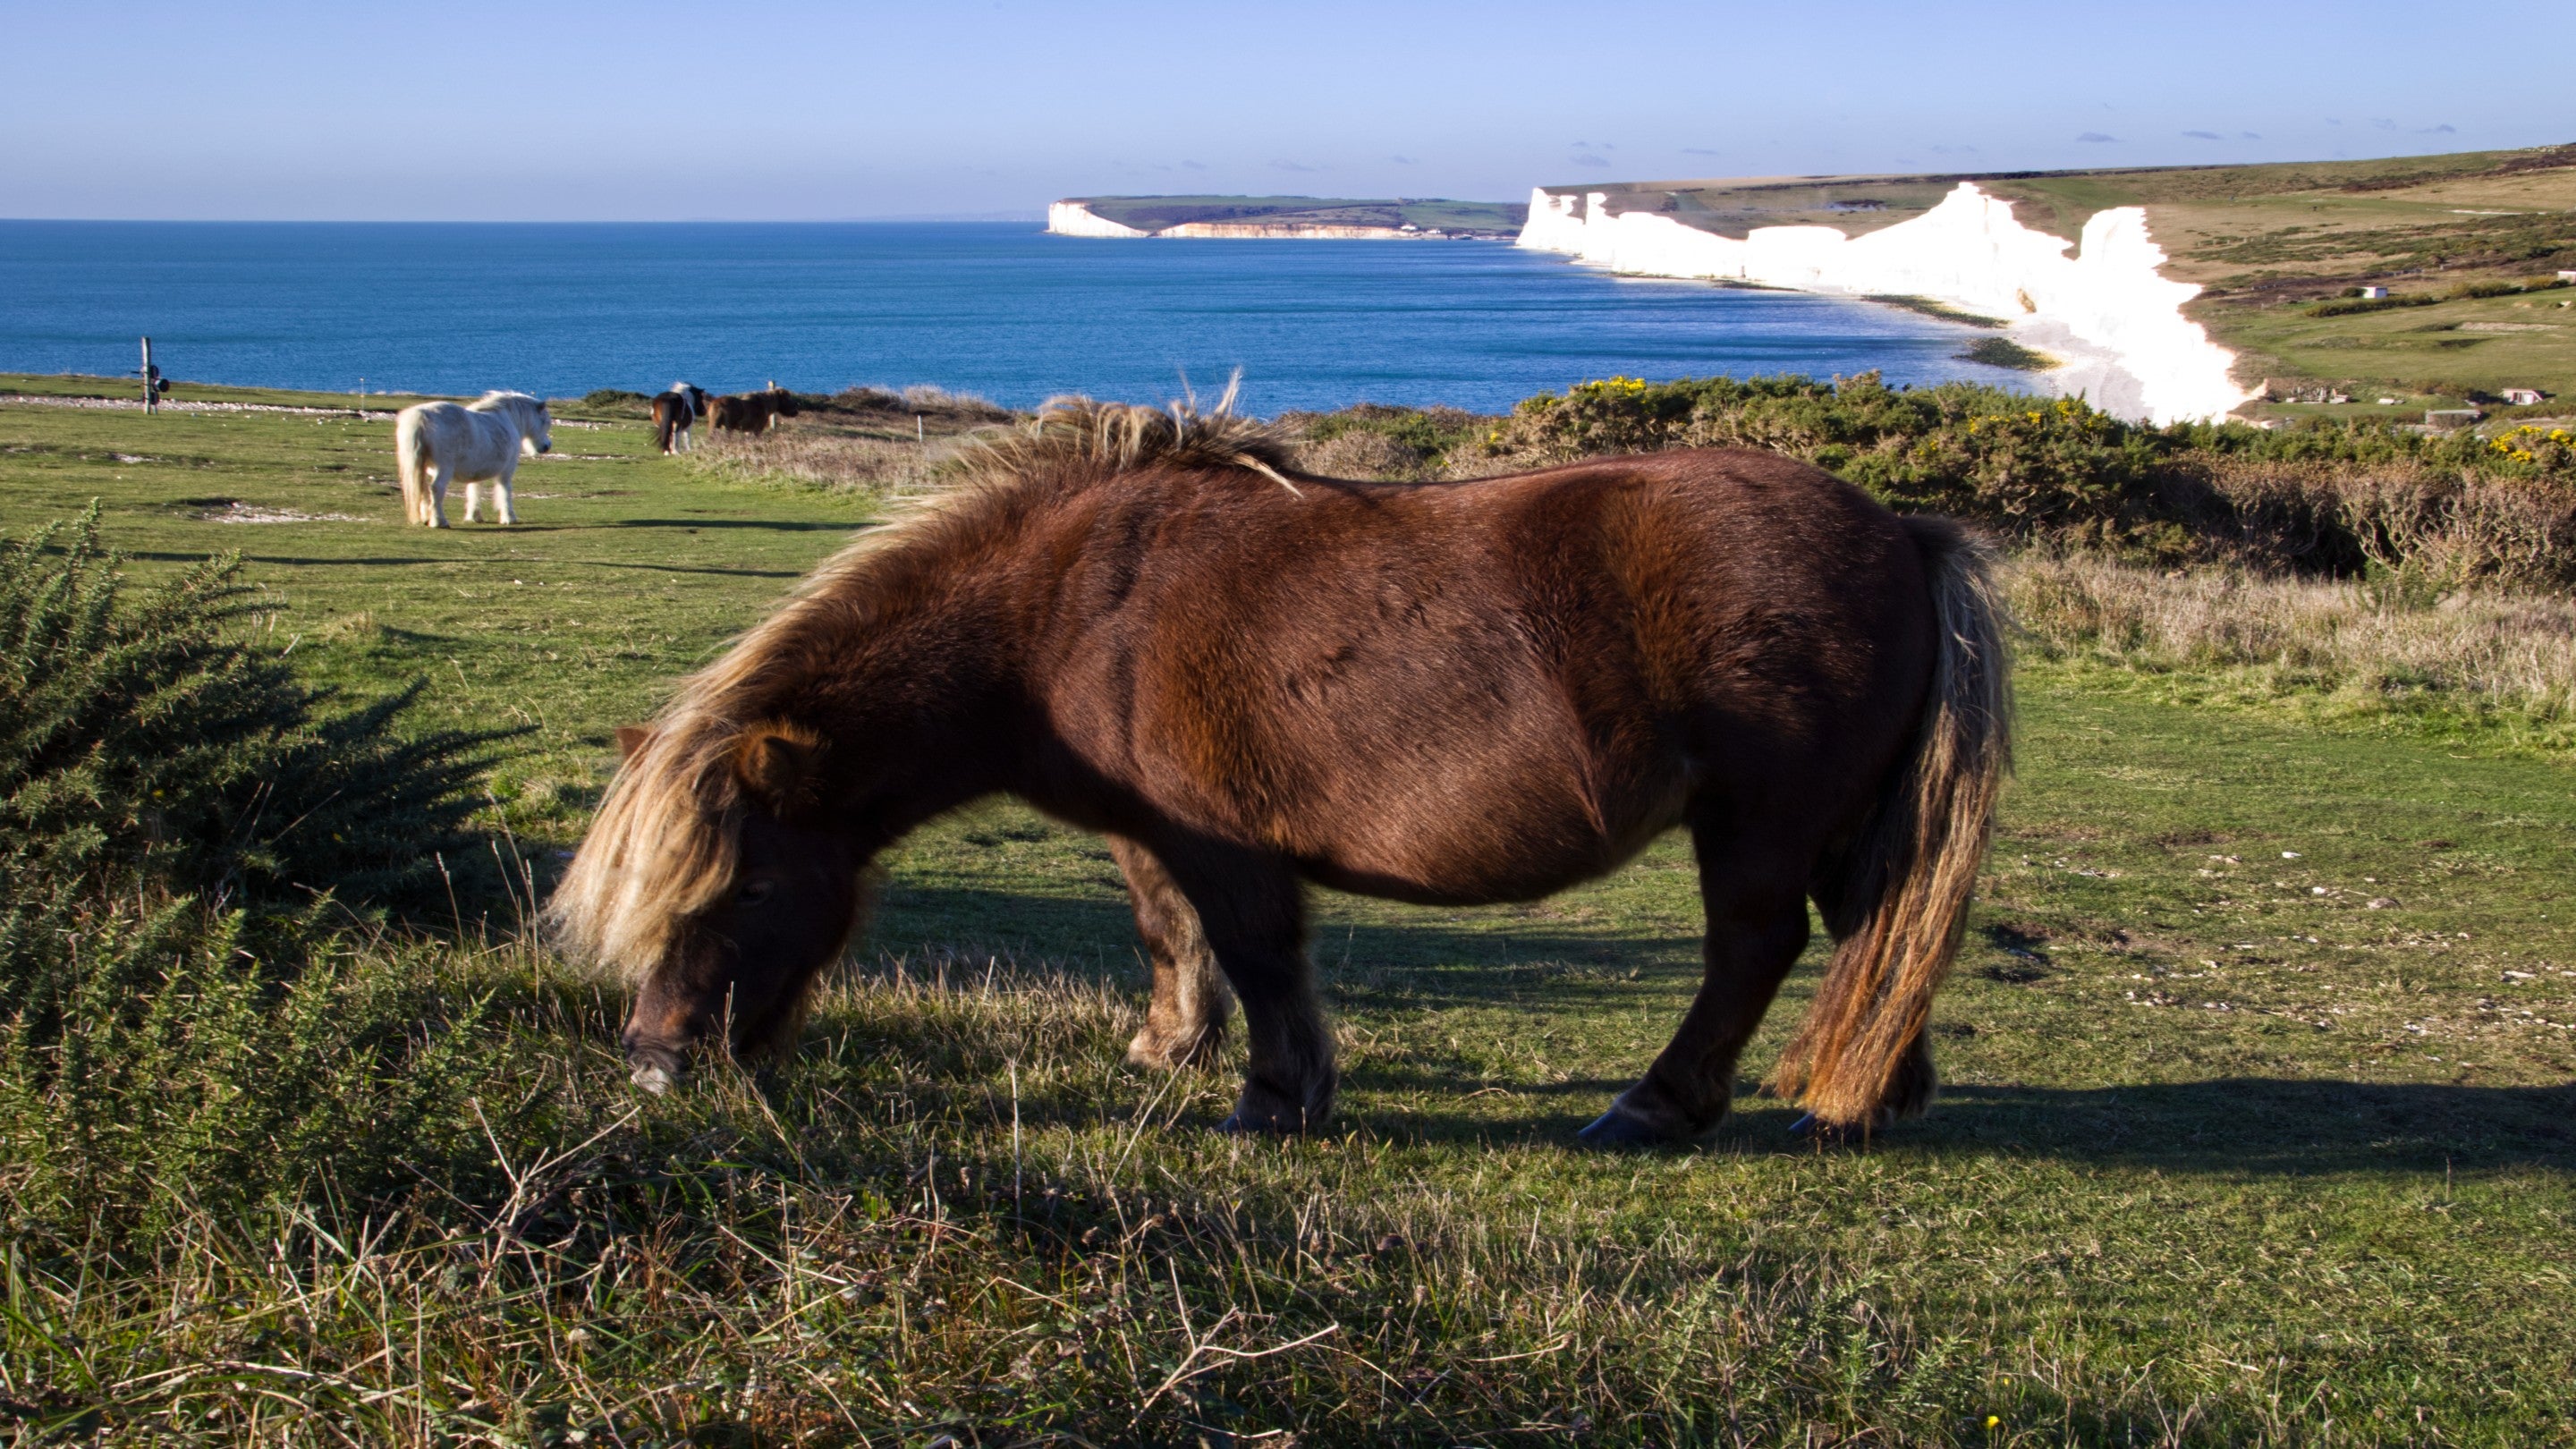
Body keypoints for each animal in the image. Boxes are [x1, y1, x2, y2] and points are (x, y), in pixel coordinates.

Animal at [393, 391, 553, 527]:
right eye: (545, 422)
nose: (546, 446)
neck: (507, 419)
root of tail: (422, 419)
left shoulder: (476, 471)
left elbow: (474, 490)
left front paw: (474, 516)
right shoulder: (506, 472)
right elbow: (505, 491)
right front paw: (509, 518)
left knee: (424, 489)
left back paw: (427, 519)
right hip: (444, 468)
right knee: (436, 489)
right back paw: (439, 521)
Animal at [548, 398, 2011, 1144]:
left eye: (746, 892)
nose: (656, 1066)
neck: (1065, 609)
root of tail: (1905, 530)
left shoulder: (1223, 837)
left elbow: (1257, 952)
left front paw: (1273, 1094)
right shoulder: (1144, 831)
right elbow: (1168, 934)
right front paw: (1167, 1049)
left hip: (1757, 823)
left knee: (1758, 946)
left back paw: (1663, 1105)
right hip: (1835, 824)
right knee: (1877, 925)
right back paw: (1875, 1091)